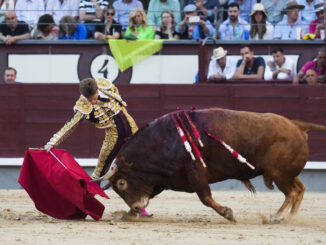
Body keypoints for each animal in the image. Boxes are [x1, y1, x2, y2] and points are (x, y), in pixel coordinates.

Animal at [93, 108, 326, 223]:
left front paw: (228, 214)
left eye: (121, 183)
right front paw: (128, 214)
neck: (164, 141)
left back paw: (276, 218)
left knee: (292, 192)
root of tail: (297, 125)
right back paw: (290, 218)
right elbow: (151, 194)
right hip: (284, 174)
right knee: (300, 189)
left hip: (279, 174)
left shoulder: (196, 174)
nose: (134, 207)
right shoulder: (163, 179)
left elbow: (206, 198)